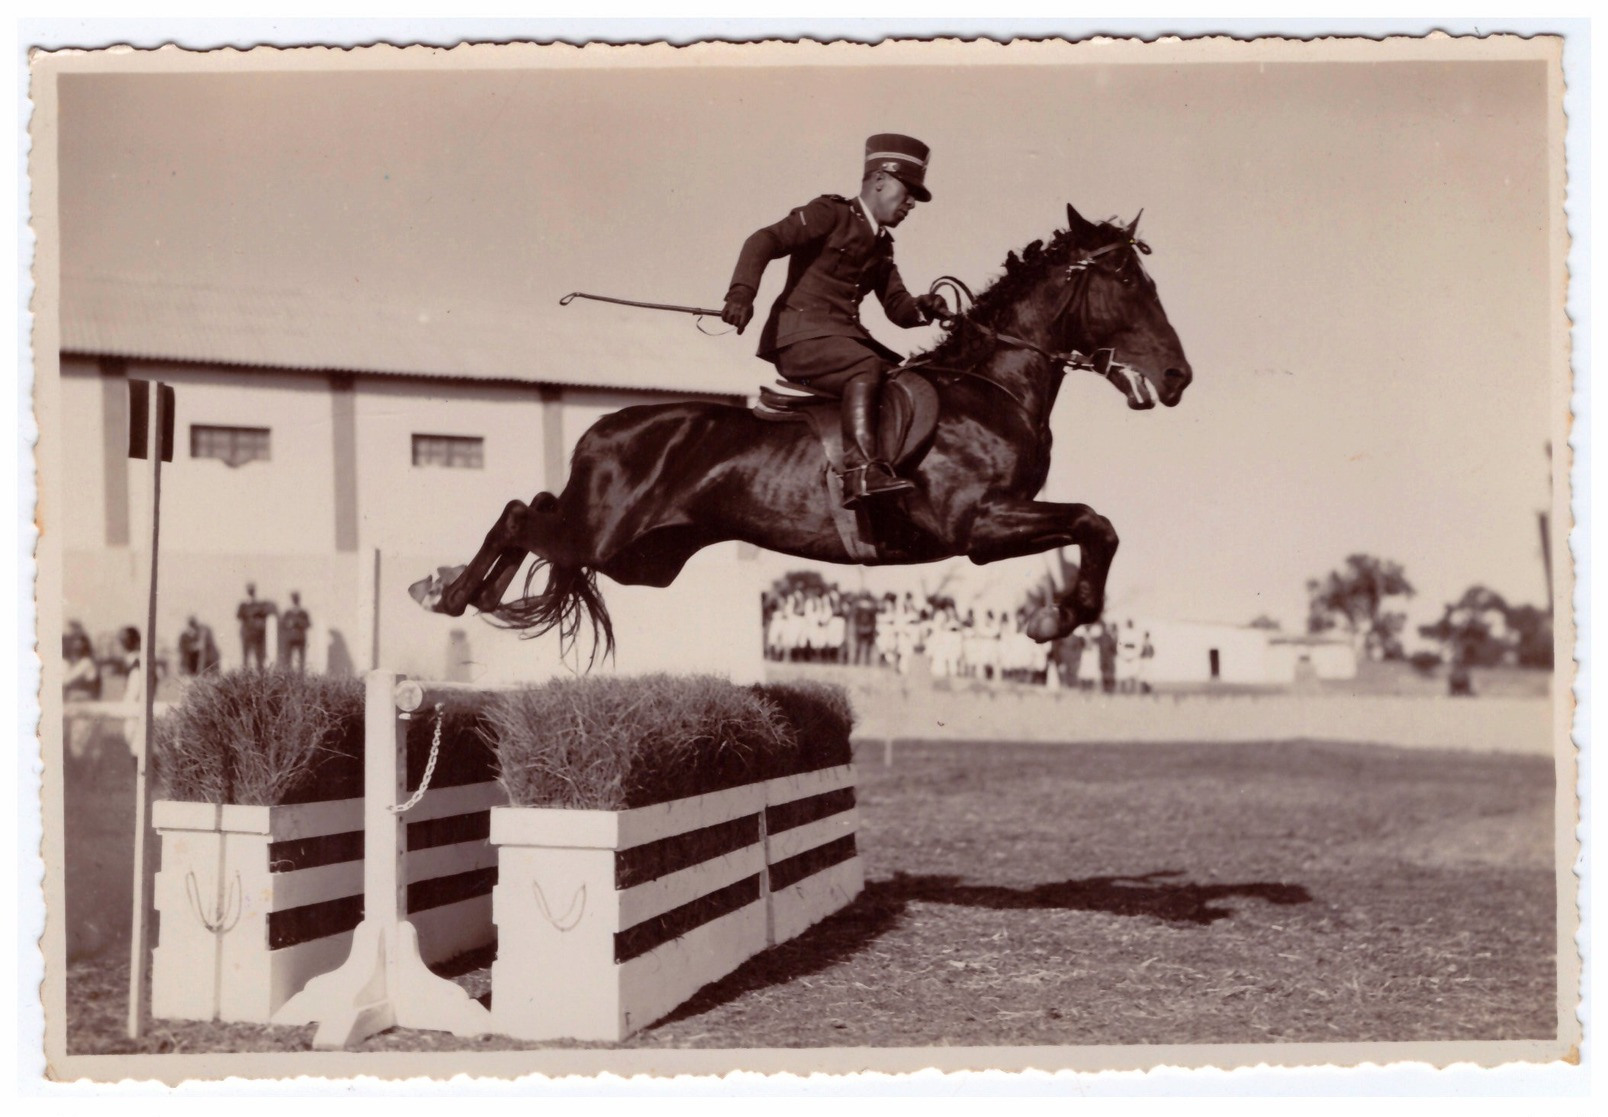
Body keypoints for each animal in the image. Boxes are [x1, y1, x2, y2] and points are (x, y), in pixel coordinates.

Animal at [414, 204, 1196, 655]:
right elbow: (1095, 522)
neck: (990, 389)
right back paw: (447, 592)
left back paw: (472, 592)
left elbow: (1097, 527)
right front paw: (1053, 621)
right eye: (1130, 283)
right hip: (603, 536)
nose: (1179, 377)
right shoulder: (978, 525)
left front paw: (1059, 617)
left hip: (640, 557)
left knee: (536, 510)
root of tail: (601, 427)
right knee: (520, 515)